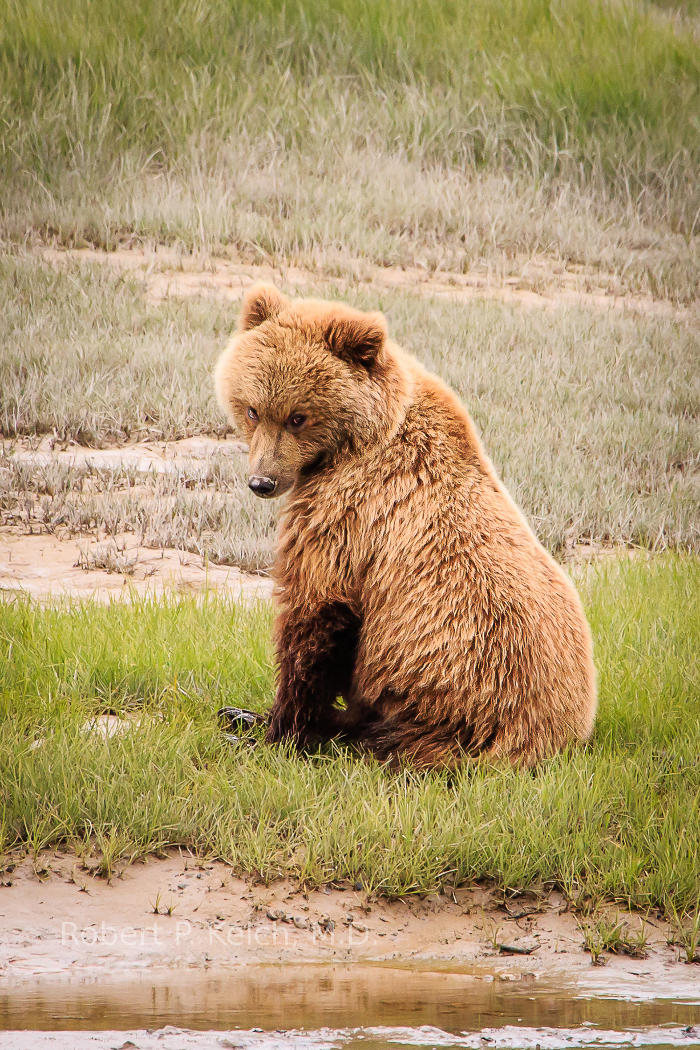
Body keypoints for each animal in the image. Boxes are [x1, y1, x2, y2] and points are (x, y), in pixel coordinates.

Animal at [215, 283, 596, 768]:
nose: (262, 482)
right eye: (252, 410)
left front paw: (278, 732)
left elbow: (314, 615)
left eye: (297, 416)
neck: (349, 445)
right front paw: (251, 715)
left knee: (396, 732)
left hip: (456, 683)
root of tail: (559, 739)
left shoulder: (348, 512)